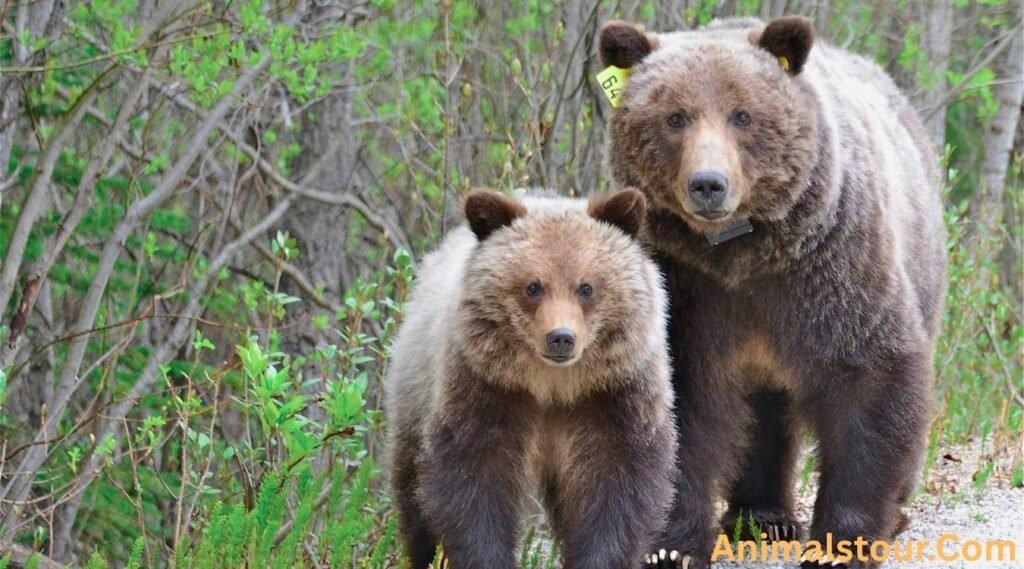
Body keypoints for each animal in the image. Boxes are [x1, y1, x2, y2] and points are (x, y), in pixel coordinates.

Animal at [385, 188, 679, 569]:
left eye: (586, 287)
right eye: (533, 286)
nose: (561, 337)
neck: (552, 385)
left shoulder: (612, 395)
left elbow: (615, 484)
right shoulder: (487, 389)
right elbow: (473, 480)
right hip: (415, 392)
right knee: (413, 493)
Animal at [598, 15, 946, 569]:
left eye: (742, 115)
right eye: (676, 117)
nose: (708, 184)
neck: (744, 254)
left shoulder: (832, 268)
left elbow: (871, 379)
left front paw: (841, 545)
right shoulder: (688, 287)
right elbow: (680, 400)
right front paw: (670, 546)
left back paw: (893, 515)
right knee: (763, 411)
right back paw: (761, 516)